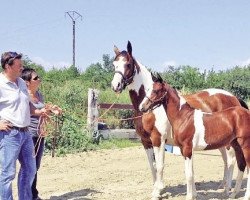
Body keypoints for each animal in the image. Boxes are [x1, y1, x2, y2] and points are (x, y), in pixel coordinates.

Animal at [112, 41, 248, 199]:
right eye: (114, 64)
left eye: (127, 64)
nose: (115, 85)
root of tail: (233, 97)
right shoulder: (145, 142)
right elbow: (152, 166)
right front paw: (157, 188)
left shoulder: (158, 139)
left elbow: (160, 165)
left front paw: (158, 191)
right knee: (227, 160)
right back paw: (223, 186)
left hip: (230, 143)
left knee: (232, 160)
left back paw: (227, 190)